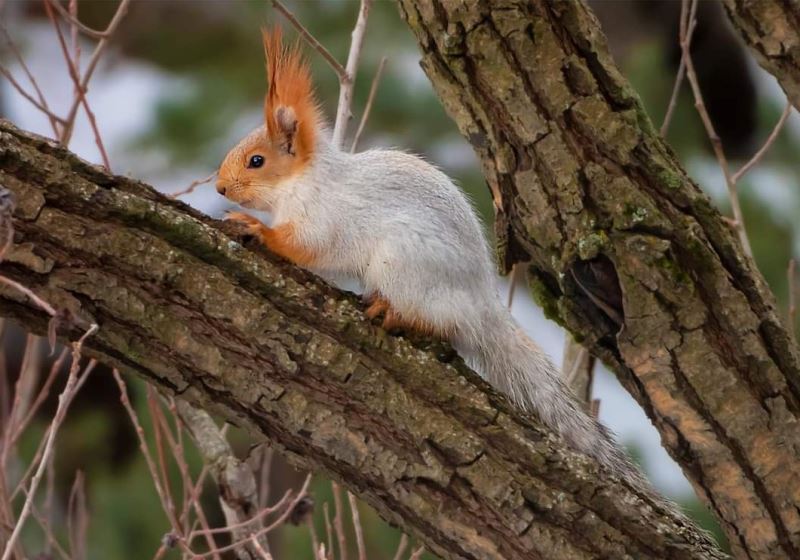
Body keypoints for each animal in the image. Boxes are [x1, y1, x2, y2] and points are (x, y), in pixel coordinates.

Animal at [216, 29, 660, 494]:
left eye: (257, 161)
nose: (220, 187)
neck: (302, 181)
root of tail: (482, 302)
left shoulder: (322, 219)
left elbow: (304, 246)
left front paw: (255, 228)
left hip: (404, 264)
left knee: (444, 323)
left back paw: (395, 313)